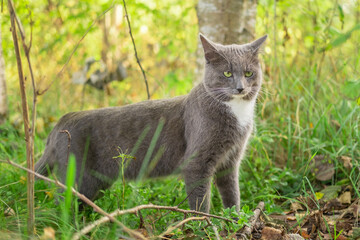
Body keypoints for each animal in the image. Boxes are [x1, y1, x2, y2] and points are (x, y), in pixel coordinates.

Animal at [35, 33, 268, 212]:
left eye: (248, 73)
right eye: (227, 73)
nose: (240, 88)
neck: (237, 112)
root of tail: (60, 123)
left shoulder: (231, 160)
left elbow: (232, 193)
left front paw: (235, 220)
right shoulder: (197, 163)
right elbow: (200, 202)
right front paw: (205, 225)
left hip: (95, 182)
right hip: (77, 174)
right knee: (60, 205)